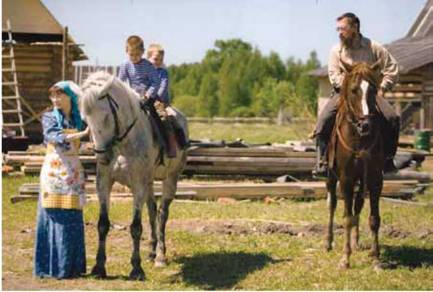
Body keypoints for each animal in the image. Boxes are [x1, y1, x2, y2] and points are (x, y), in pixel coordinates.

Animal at [79, 71, 187, 280]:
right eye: (85, 119)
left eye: (106, 117)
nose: (102, 156)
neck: (123, 142)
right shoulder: (103, 183)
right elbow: (103, 224)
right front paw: (99, 267)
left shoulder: (138, 185)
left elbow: (136, 227)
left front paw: (136, 269)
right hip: (149, 182)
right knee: (152, 210)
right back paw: (152, 252)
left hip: (170, 179)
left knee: (162, 214)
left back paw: (160, 256)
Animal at [324, 58, 384, 270]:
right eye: (353, 90)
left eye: (373, 89)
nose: (365, 125)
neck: (359, 138)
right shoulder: (346, 179)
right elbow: (347, 218)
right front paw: (345, 258)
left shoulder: (374, 179)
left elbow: (374, 218)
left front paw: (376, 258)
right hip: (331, 179)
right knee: (332, 205)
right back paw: (328, 242)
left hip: (362, 181)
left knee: (358, 205)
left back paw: (356, 242)